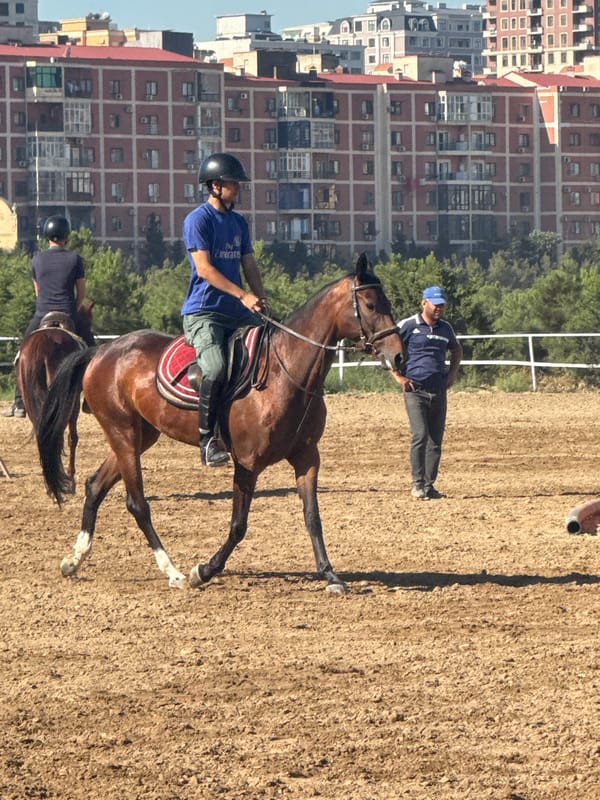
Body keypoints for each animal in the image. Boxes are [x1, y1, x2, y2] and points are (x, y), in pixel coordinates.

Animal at [36, 254, 403, 593]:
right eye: (370, 304)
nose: (398, 355)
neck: (284, 374)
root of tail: (101, 352)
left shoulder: (307, 457)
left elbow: (313, 518)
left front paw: (330, 576)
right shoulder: (248, 464)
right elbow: (238, 525)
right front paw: (205, 570)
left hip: (139, 436)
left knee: (95, 485)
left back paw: (74, 560)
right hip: (122, 432)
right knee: (137, 503)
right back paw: (173, 572)